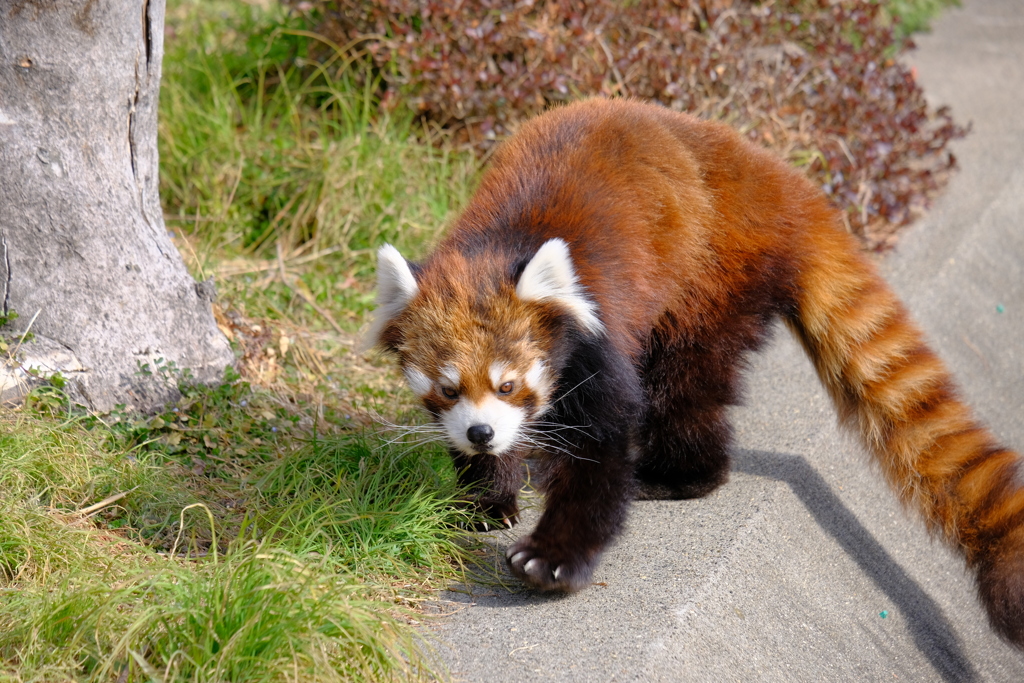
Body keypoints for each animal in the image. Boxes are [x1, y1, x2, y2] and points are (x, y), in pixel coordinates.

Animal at [368, 96, 1024, 647]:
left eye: (509, 385)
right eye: (449, 389)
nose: (482, 432)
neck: (498, 245)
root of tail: (780, 180)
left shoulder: (596, 339)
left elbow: (601, 446)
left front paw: (553, 557)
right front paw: (487, 498)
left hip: (711, 281)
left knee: (684, 387)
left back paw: (678, 476)